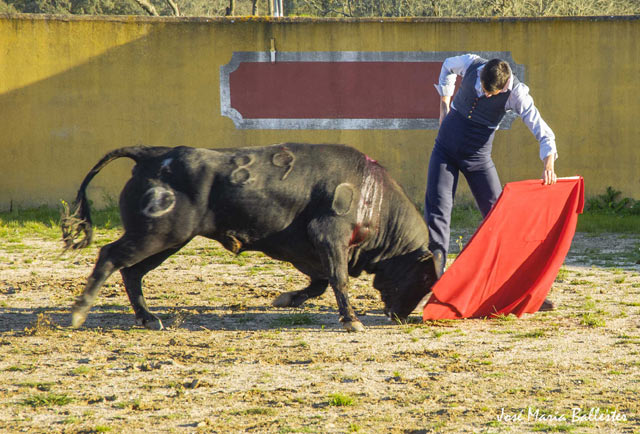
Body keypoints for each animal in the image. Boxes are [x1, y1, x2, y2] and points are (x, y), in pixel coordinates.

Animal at [62, 144, 438, 330]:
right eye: (423, 277)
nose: (401, 317)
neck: (371, 196)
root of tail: (153, 155)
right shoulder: (330, 237)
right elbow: (338, 279)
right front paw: (352, 321)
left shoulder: (311, 250)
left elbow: (319, 282)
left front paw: (285, 299)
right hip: (158, 234)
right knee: (110, 256)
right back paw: (79, 313)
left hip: (168, 240)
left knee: (131, 271)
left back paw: (147, 317)